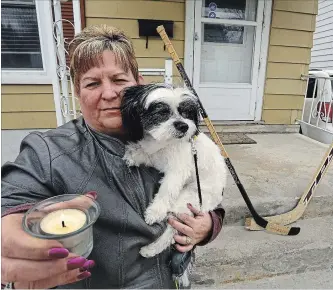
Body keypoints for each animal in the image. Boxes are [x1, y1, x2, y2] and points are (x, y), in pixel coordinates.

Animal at [119, 83, 226, 258]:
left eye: (186, 113)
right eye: (162, 112)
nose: (183, 126)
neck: (167, 143)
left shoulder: (178, 170)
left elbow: (167, 190)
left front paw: (155, 212)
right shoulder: (158, 154)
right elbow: (150, 153)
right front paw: (135, 155)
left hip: (190, 198)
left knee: (172, 230)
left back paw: (150, 249)